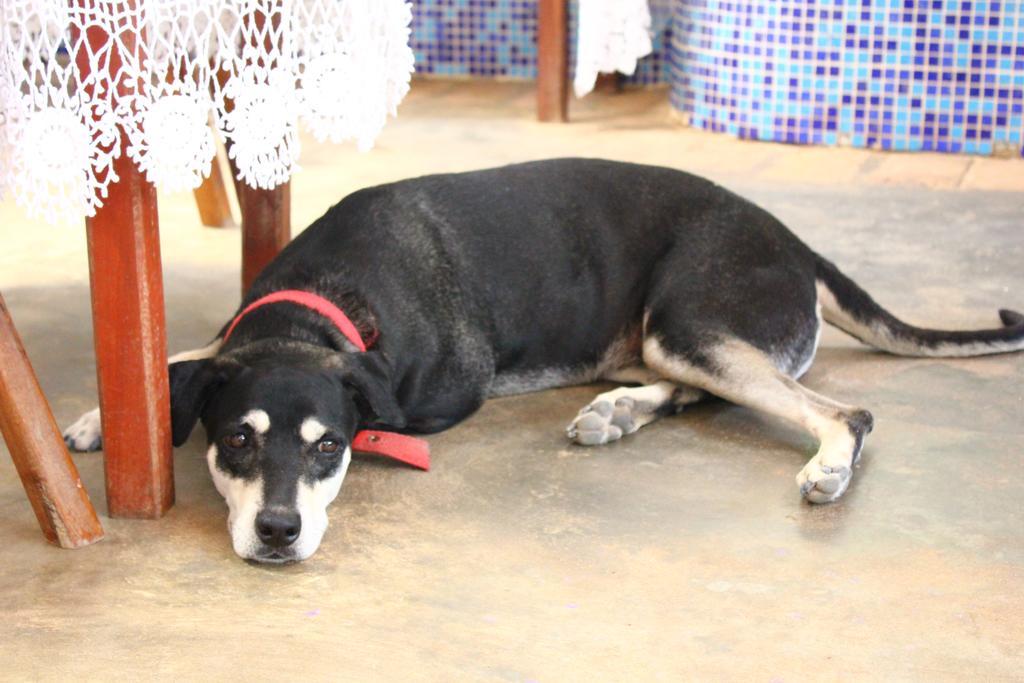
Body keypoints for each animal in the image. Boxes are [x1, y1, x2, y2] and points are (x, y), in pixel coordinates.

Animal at [66, 158, 1024, 561]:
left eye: (329, 447)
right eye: (235, 439)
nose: (277, 531)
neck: (323, 298)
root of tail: (795, 241)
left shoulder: (437, 394)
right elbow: (191, 351)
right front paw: (106, 411)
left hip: (690, 320)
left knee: (838, 410)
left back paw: (826, 462)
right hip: (671, 339)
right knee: (699, 390)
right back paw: (619, 409)